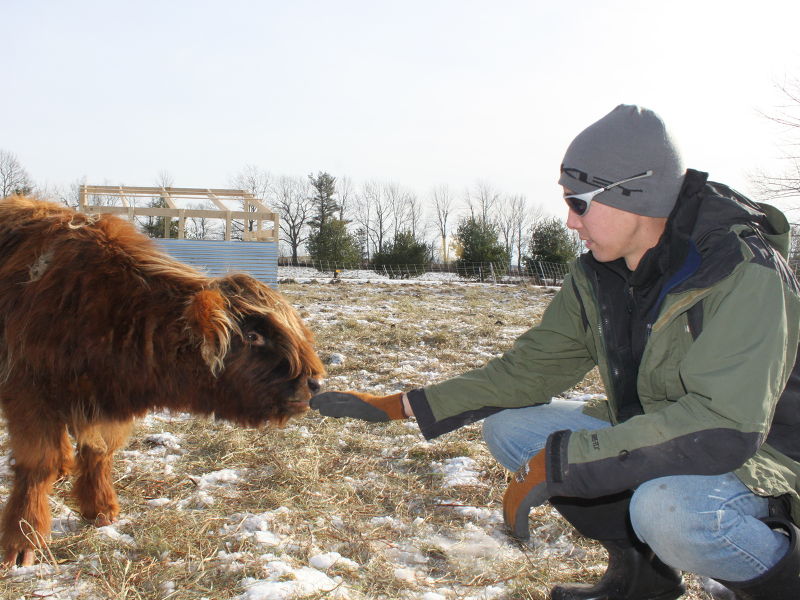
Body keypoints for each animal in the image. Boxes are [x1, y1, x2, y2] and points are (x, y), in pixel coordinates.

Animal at [0, 197, 324, 568]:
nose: (314, 382)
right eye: (253, 336)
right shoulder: (30, 397)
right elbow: (39, 464)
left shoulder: (104, 403)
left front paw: (102, 511)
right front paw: (23, 540)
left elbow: (97, 451)